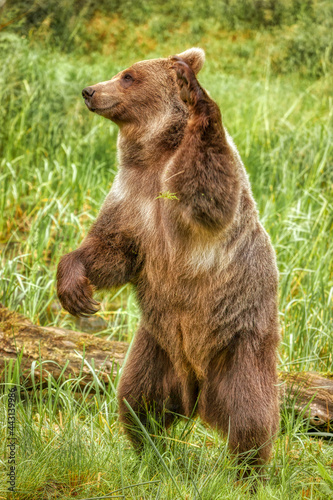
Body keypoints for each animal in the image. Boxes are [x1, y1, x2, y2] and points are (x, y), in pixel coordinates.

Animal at [57, 47, 280, 472]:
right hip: (156, 346)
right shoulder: (131, 197)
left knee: (250, 414)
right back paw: (150, 454)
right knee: (136, 399)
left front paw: (195, 91)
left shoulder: (189, 193)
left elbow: (213, 191)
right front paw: (75, 289)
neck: (154, 153)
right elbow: (113, 248)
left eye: (128, 76)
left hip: (241, 340)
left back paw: (247, 472)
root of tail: (196, 389)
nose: (90, 91)